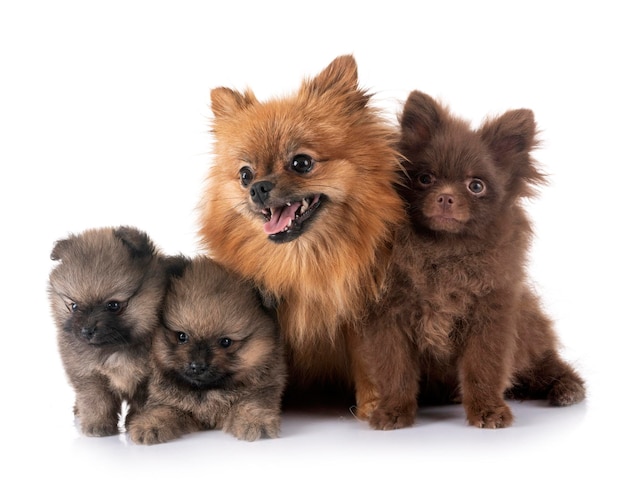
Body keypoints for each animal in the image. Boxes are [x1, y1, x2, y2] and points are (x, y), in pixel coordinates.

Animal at [48, 227, 183, 436]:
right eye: (74, 306)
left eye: (113, 305)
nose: (87, 330)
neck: (115, 348)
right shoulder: (89, 374)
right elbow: (96, 401)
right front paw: (97, 425)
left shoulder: (148, 379)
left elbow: (144, 402)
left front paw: (136, 421)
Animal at [127, 255, 288, 442]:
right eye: (182, 336)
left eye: (225, 342)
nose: (197, 366)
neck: (207, 392)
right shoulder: (166, 400)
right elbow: (164, 409)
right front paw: (149, 425)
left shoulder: (261, 390)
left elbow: (250, 403)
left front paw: (255, 422)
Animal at [197, 54, 408, 404]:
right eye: (244, 175)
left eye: (301, 163)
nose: (258, 187)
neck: (304, 262)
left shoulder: (361, 311)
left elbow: (368, 361)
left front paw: (373, 405)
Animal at [356, 92, 584, 430]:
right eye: (425, 179)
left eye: (476, 186)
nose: (446, 197)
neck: (443, 251)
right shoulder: (389, 318)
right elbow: (395, 370)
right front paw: (394, 410)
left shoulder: (490, 317)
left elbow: (483, 369)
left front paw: (487, 410)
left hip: (529, 326)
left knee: (547, 362)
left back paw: (567, 388)